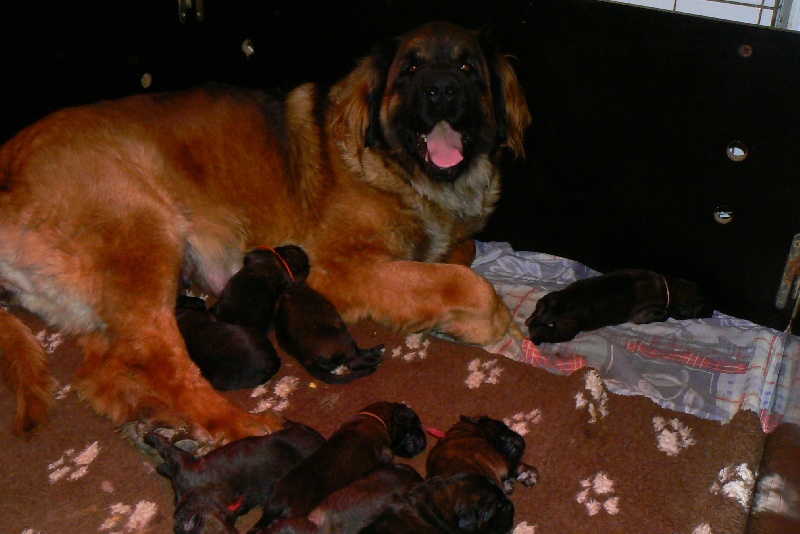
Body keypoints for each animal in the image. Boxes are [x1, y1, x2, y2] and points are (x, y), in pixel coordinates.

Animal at [0, 22, 528, 444]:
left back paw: (150, 417)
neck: (398, 167)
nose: (442, 90)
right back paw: (238, 425)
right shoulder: (341, 267)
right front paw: (483, 318)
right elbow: (475, 288)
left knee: (104, 371)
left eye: (466, 67)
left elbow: (462, 250)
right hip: (146, 235)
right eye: (411, 70)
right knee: (166, 366)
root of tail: (8, 167)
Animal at [524, 270, 712, 346]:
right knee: (543, 332)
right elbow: (664, 314)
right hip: (566, 329)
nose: (712, 312)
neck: (668, 287)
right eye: (703, 305)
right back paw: (535, 340)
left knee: (533, 318)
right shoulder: (643, 314)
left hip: (548, 299)